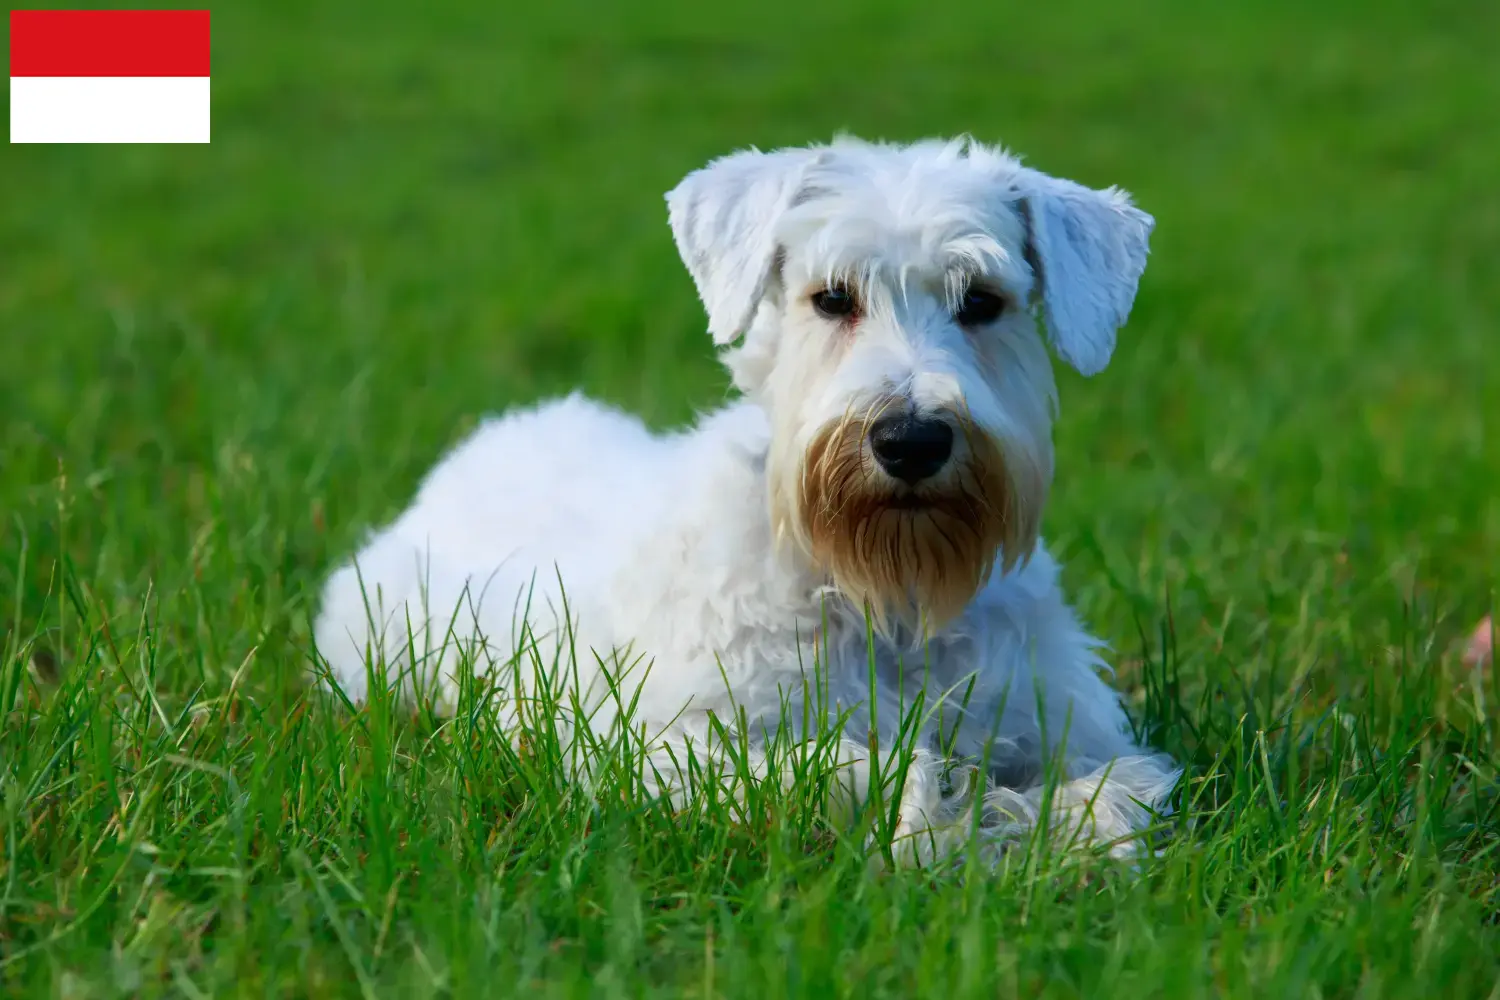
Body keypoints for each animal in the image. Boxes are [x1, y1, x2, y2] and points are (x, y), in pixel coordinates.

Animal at [319, 134, 1182, 869]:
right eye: (831, 298)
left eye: (983, 302)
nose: (910, 441)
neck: (883, 592)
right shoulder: (658, 743)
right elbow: (863, 771)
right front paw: (945, 824)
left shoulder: (1080, 728)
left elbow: (1115, 797)